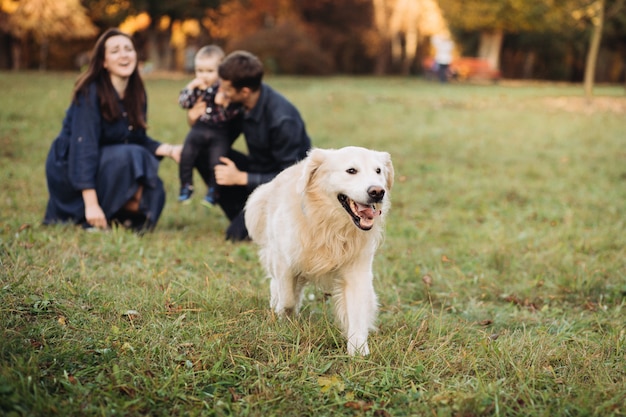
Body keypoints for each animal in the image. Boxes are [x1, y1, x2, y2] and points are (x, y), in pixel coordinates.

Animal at [243, 146, 392, 354]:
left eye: (378, 171)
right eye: (351, 170)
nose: (378, 192)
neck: (329, 225)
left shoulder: (357, 270)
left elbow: (357, 312)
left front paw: (359, 351)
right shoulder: (284, 261)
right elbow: (287, 298)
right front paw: (285, 318)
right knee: (277, 284)